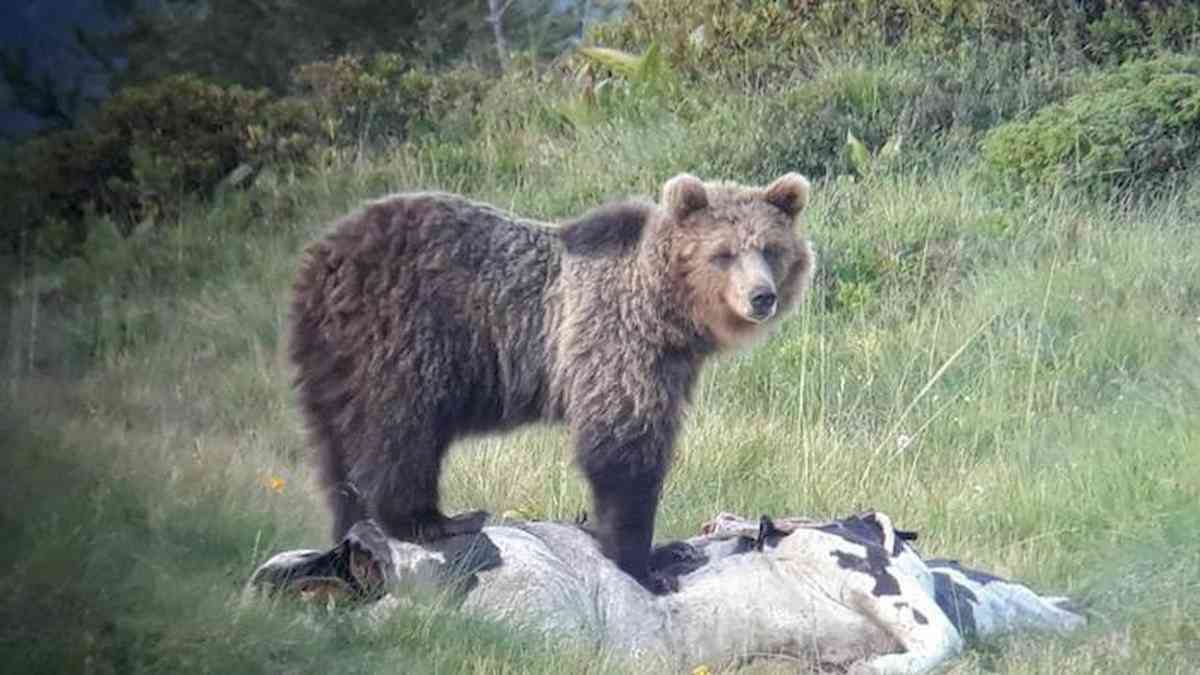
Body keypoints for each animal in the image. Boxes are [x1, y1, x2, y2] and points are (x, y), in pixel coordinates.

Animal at [288, 171, 816, 588]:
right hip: (404, 334)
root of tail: (322, 258)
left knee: (336, 448)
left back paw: (353, 526)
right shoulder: (615, 340)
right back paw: (434, 520)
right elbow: (622, 447)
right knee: (400, 429)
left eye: (770, 249)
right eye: (723, 254)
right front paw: (642, 562)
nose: (761, 296)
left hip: (332, 361)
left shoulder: (671, 363)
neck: (667, 311)